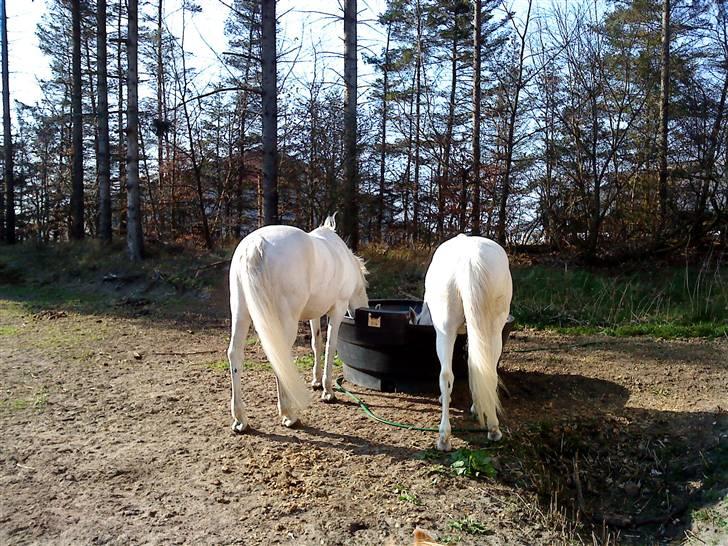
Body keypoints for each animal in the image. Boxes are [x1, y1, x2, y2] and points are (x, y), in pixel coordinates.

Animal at [226, 215, 366, 432]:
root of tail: (255, 245)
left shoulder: (314, 314)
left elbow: (316, 344)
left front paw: (316, 382)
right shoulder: (337, 309)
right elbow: (330, 346)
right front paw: (328, 391)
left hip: (241, 312)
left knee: (235, 354)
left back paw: (241, 420)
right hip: (285, 320)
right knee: (280, 356)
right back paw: (289, 416)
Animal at [418, 234, 516, 450]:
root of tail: (469, 259)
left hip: (445, 329)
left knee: (446, 375)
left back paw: (444, 438)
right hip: (493, 329)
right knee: (489, 371)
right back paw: (493, 428)